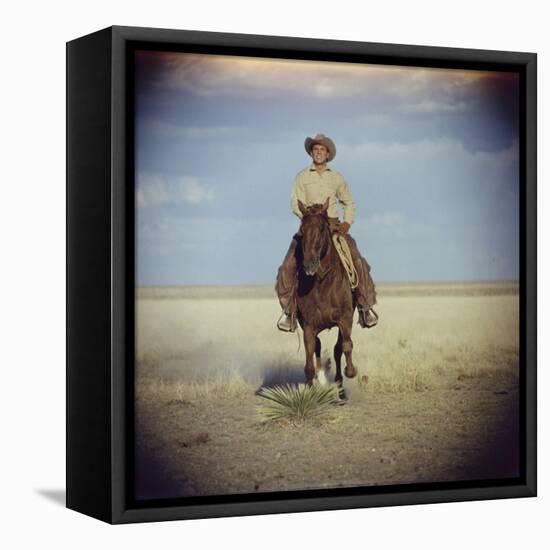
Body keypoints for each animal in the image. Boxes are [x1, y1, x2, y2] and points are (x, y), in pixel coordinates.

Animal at [298, 198, 358, 402]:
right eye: (301, 231)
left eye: (322, 228)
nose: (309, 264)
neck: (323, 282)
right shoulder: (308, 326)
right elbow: (309, 363)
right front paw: (310, 393)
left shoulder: (345, 319)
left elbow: (345, 346)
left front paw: (350, 372)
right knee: (318, 348)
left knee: (338, 348)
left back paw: (340, 388)